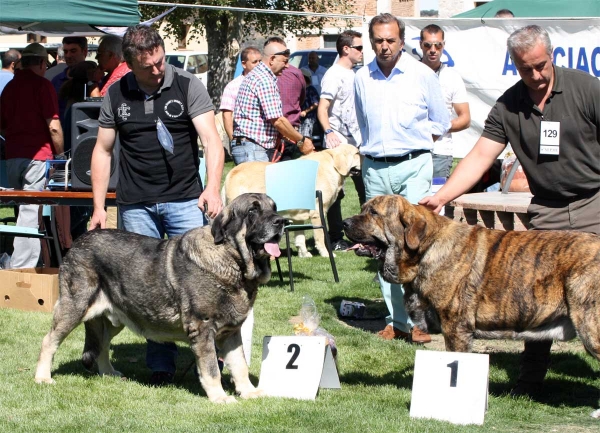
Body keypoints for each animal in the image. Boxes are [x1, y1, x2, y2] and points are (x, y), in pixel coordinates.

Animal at [35, 192, 284, 402]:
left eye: (274, 208)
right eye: (252, 211)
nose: (281, 221)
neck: (231, 259)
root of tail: (78, 242)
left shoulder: (231, 332)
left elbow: (240, 364)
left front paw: (249, 392)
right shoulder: (203, 328)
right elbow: (212, 367)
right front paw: (220, 397)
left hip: (115, 318)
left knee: (102, 345)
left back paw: (108, 373)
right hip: (75, 307)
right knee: (49, 341)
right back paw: (43, 377)